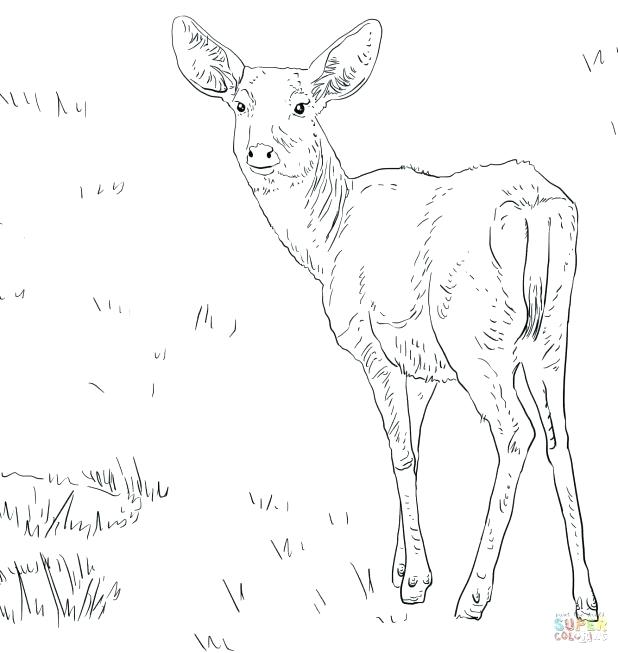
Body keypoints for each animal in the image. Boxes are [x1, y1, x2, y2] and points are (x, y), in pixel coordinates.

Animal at [171, 16, 598, 621]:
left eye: (302, 105)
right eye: (239, 102)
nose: (260, 152)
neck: (326, 239)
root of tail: (536, 208)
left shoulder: (371, 343)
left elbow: (399, 453)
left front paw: (415, 581)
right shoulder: (421, 365)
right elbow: (414, 449)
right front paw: (401, 565)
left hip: (476, 337)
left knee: (516, 432)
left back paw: (474, 594)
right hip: (551, 333)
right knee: (560, 438)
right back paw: (585, 597)